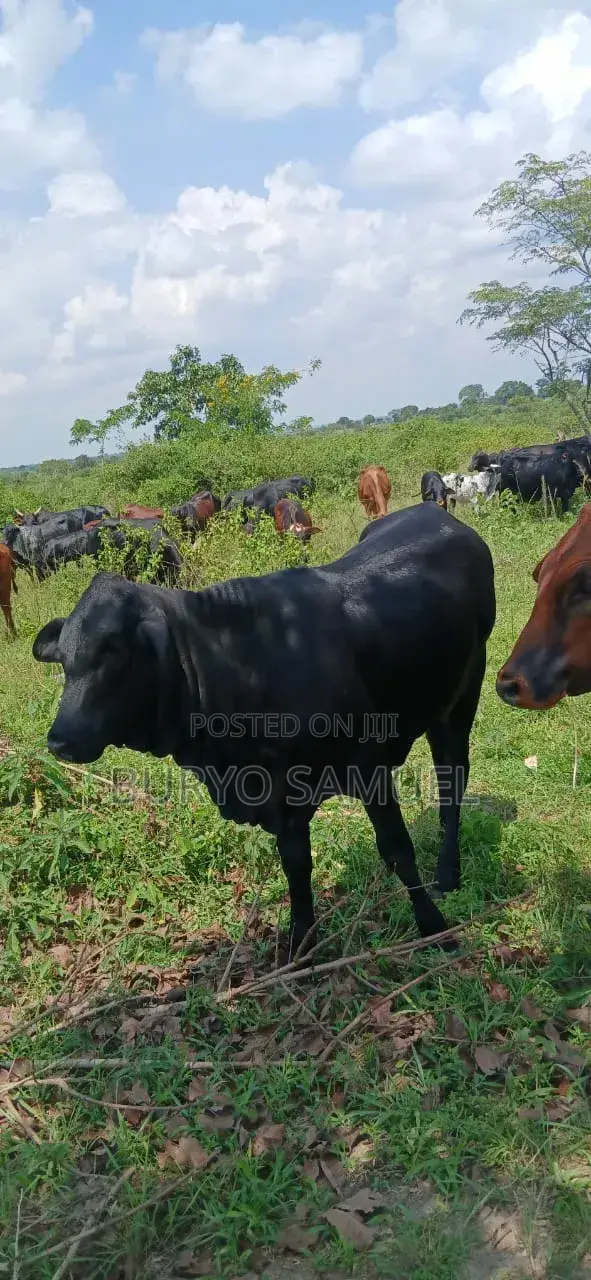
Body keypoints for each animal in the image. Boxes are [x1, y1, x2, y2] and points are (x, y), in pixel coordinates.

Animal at [33, 503, 495, 958]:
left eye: (114, 651)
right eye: (64, 659)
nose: (60, 739)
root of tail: (440, 515)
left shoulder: (368, 768)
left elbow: (397, 850)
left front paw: (435, 928)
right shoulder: (281, 800)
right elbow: (297, 868)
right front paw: (298, 947)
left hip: (463, 696)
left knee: (452, 782)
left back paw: (448, 872)